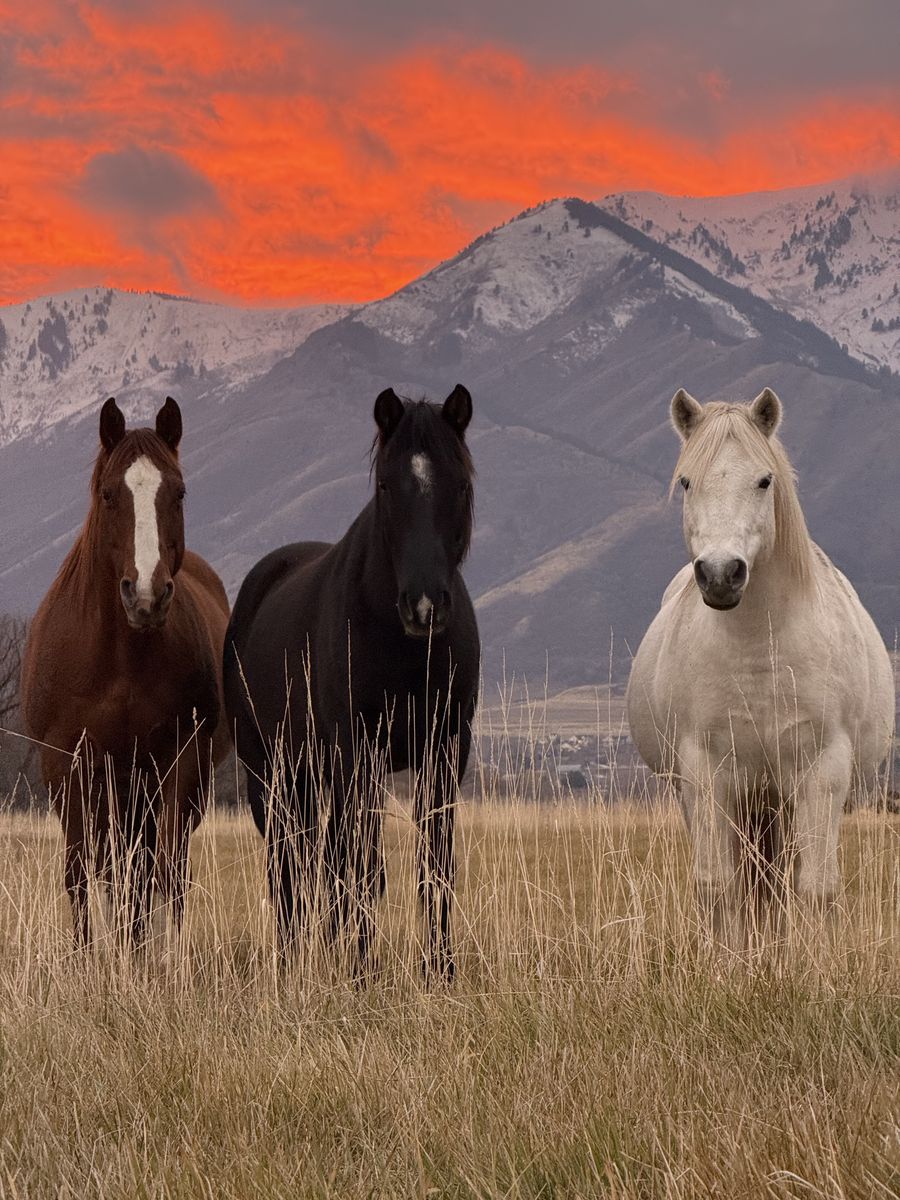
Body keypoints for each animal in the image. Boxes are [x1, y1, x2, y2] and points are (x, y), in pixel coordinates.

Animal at [21, 397, 230, 951]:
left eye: (178, 491)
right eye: (110, 494)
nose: (147, 596)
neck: (120, 660)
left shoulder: (179, 760)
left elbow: (167, 869)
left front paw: (164, 958)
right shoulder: (68, 765)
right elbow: (81, 870)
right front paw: (86, 957)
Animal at [223, 384, 480, 980]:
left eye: (460, 482)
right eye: (386, 484)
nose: (425, 606)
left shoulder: (444, 749)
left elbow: (434, 867)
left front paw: (440, 971)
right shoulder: (355, 751)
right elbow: (360, 869)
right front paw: (360, 970)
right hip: (268, 773)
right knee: (290, 869)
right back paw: (295, 961)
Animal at [627, 388, 894, 945]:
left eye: (764, 480)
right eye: (687, 481)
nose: (720, 575)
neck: (758, 651)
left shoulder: (821, 776)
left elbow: (814, 888)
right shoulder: (705, 776)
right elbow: (719, 885)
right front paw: (730, 959)